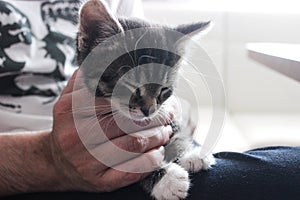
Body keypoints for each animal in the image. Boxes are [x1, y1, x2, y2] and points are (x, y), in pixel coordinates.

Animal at [76, 0, 214, 199]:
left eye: (164, 89)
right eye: (131, 85)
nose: (149, 110)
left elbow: (175, 129)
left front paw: (189, 153)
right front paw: (167, 179)